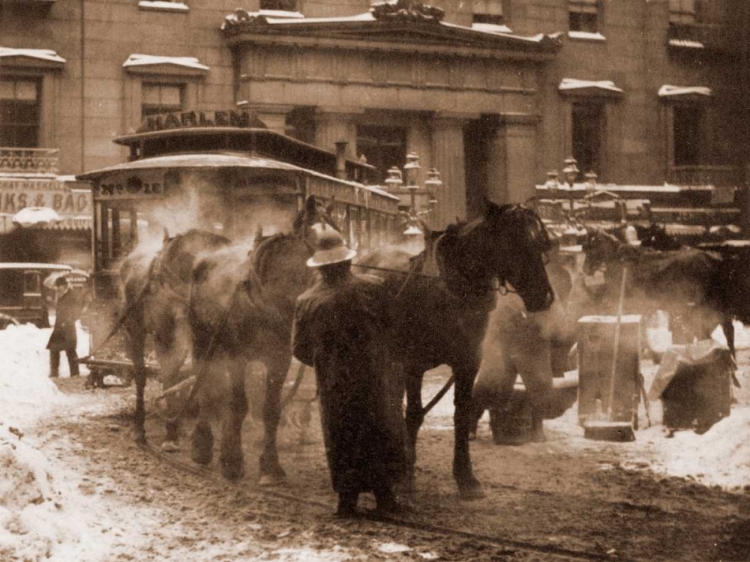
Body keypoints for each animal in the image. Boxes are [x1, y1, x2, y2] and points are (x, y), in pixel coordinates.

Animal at [185, 197, 326, 482]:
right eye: (321, 238)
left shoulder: (279, 359)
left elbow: (270, 410)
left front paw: (270, 467)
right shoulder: (238, 357)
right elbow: (239, 405)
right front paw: (232, 461)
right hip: (202, 340)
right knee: (205, 385)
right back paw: (202, 446)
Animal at [358, 201, 560, 498]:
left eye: (540, 245)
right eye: (513, 243)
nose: (543, 297)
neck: (449, 292)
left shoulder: (467, 364)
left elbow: (462, 415)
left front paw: (466, 477)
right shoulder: (413, 365)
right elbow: (414, 415)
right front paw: (406, 478)